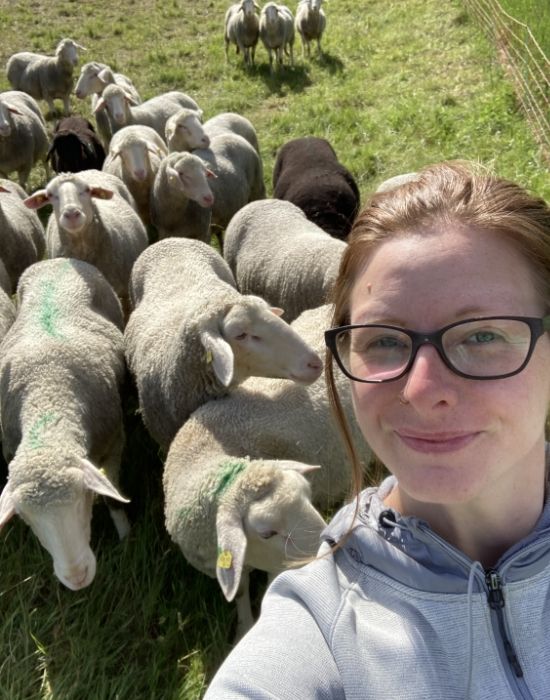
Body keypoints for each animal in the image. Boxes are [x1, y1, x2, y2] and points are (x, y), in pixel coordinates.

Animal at [0, 258, 129, 592]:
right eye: (26, 518)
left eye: (83, 499)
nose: (77, 577)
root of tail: (54, 260)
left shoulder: (114, 443)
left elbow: (114, 497)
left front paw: (126, 535)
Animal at [23, 170, 149, 308]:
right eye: (50, 195)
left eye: (87, 190)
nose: (72, 214)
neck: (81, 245)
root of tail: (87, 171)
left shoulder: (125, 291)